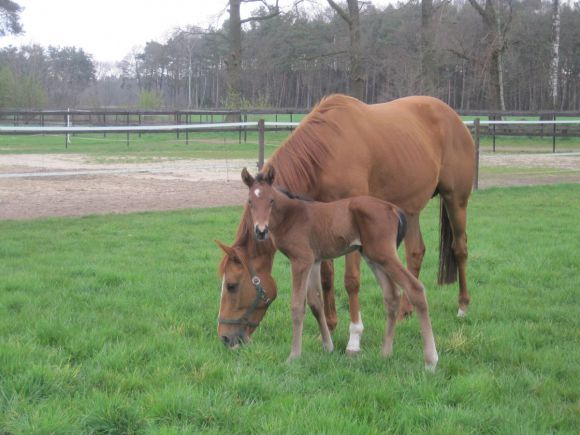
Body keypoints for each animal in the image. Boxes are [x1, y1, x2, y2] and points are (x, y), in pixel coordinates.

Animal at [215, 93, 474, 352]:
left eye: (232, 285)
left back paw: (462, 307)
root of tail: (453, 117)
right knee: (415, 253)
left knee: (460, 249)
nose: (225, 338)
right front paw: (329, 328)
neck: (326, 151)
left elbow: (351, 281)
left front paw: (354, 338)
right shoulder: (323, 223)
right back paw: (404, 311)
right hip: (410, 211)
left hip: (455, 200)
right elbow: (326, 277)